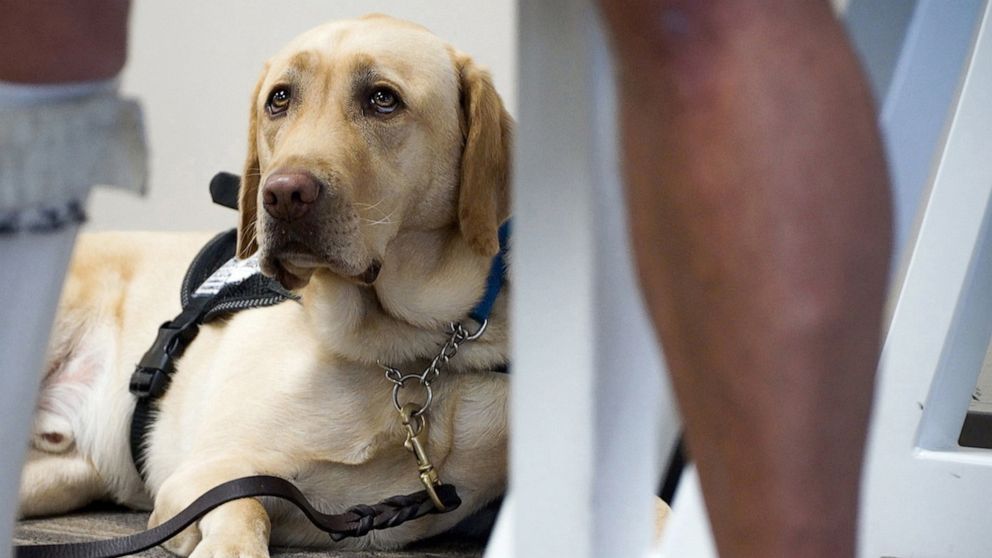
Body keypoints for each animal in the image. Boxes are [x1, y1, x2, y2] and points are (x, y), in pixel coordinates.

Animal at [21, 15, 512, 556]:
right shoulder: (202, 476)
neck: (413, 352)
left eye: (383, 99)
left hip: (62, 476)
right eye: (279, 99)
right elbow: (247, 504)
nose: (283, 194)